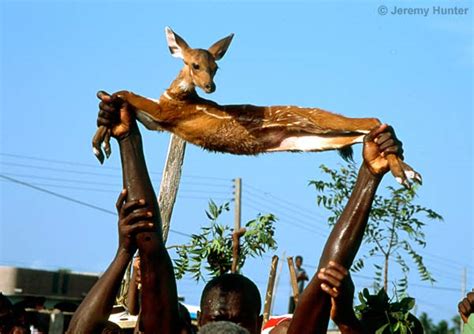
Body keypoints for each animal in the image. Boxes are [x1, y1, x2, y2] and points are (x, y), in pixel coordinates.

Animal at [93, 27, 422, 187]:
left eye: (215, 67)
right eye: (195, 64)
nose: (210, 87)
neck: (177, 96)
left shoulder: (168, 115)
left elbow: (123, 91)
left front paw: (99, 146)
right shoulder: (159, 121)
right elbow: (123, 99)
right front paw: (103, 142)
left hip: (318, 121)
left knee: (370, 119)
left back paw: (404, 175)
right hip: (307, 140)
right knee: (357, 135)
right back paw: (408, 172)